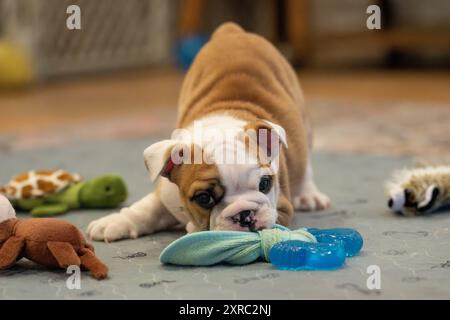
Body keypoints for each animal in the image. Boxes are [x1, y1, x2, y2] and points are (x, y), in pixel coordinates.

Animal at [86, 22, 328, 241]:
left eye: (265, 184)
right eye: (204, 198)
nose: (245, 214)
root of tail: (232, 31)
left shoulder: (281, 208)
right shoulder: (165, 193)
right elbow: (146, 208)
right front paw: (116, 221)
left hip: (303, 123)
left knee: (305, 163)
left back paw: (309, 195)